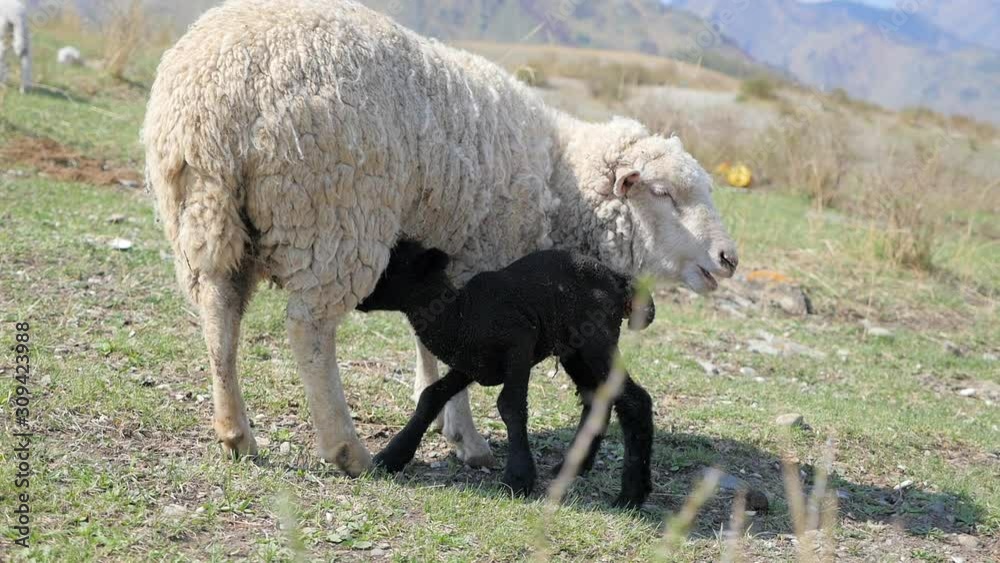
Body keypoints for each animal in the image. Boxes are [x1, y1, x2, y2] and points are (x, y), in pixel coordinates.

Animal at [142, 0, 739, 477]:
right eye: (664, 193)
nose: (729, 258)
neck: (560, 175)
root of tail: (215, 104)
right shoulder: (480, 260)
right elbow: (462, 362)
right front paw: (466, 438)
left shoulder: (441, 249)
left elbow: (427, 341)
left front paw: (440, 422)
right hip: (334, 217)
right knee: (309, 329)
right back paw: (347, 449)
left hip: (207, 223)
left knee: (219, 316)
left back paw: (235, 433)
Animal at [358, 240, 656, 508]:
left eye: (390, 268)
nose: (359, 297)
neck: (459, 315)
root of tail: (618, 278)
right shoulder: (470, 365)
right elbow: (431, 396)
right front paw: (391, 456)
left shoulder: (519, 345)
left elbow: (510, 406)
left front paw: (518, 478)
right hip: (574, 351)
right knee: (596, 398)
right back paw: (572, 466)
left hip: (597, 340)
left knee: (634, 400)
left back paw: (631, 495)